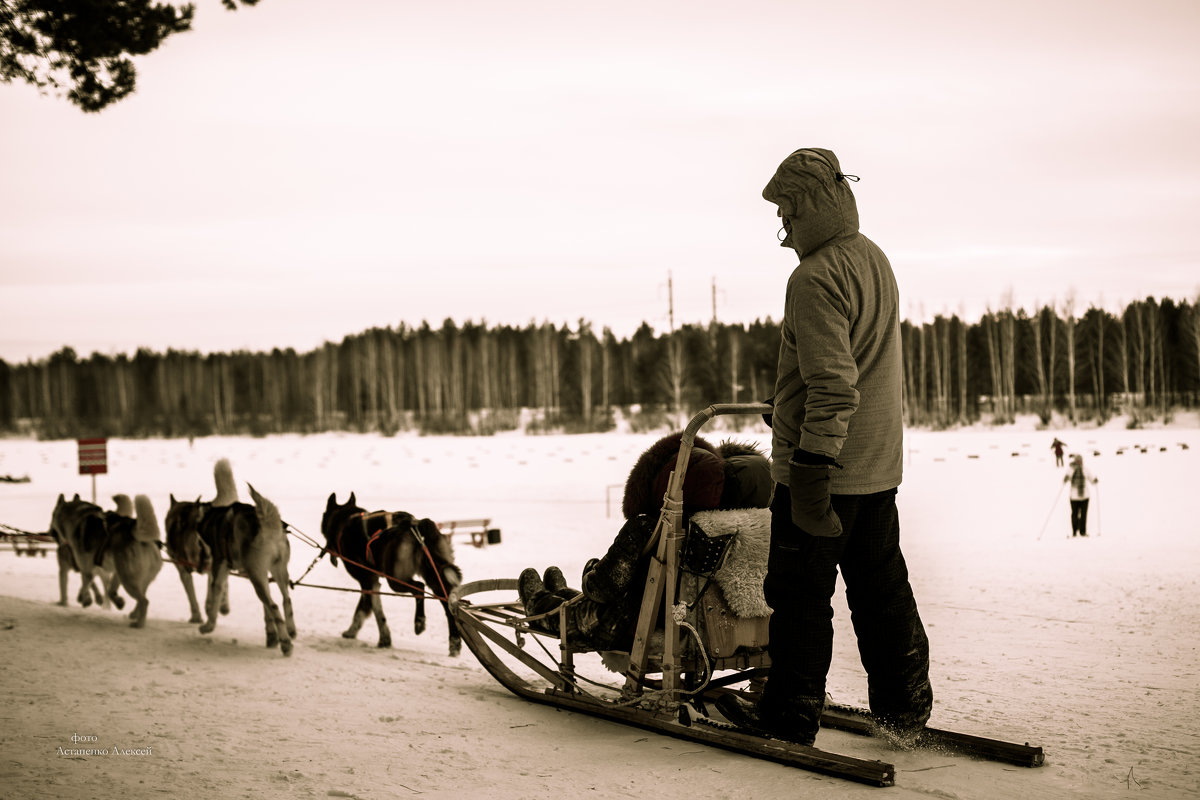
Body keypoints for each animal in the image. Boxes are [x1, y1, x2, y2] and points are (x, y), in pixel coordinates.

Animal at [99, 491, 164, 628]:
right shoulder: (117, 573)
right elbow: (111, 590)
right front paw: (119, 602)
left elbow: (108, 590)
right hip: (136, 578)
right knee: (142, 598)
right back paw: (134, 615)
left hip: (128, 581)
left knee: (144, 600)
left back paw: (139, 623)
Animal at [194, 460, 295, 652]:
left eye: (198, 540)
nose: (200, 566)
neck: (213, 520)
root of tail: (267, 524)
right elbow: (266, 610)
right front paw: (272, 635)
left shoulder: (220, 566)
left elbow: (216, 594)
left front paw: (208, 625)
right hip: (277, 572)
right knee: (286, 599)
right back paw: (291, 631)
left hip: (258, 575)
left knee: (274, 604)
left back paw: (286, 643)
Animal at [321, 494, 460, 657]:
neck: (344, 521)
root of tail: (417, 524)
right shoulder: (371, 582)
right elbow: (363, 610)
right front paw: (352, 632)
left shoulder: (368, 581)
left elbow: (375, 612)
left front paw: (383, 639)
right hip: (435, 578)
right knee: (447, 604)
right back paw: (454, 643)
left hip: (396, 580)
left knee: (419, 587)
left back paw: (419, 622)